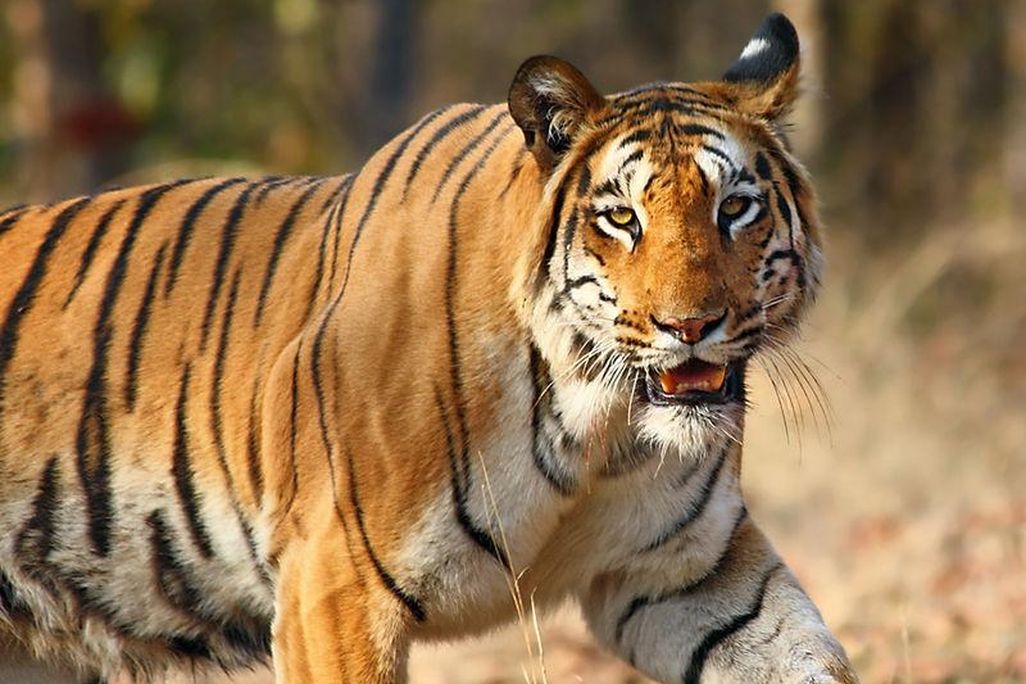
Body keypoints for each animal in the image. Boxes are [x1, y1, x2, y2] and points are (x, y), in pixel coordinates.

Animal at [0, 12, 858, 684]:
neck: (597, 426)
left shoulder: (687, 576)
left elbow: (807, 655)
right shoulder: (332, 587)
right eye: (621, 219)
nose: (692, 325)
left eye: (735, 208)